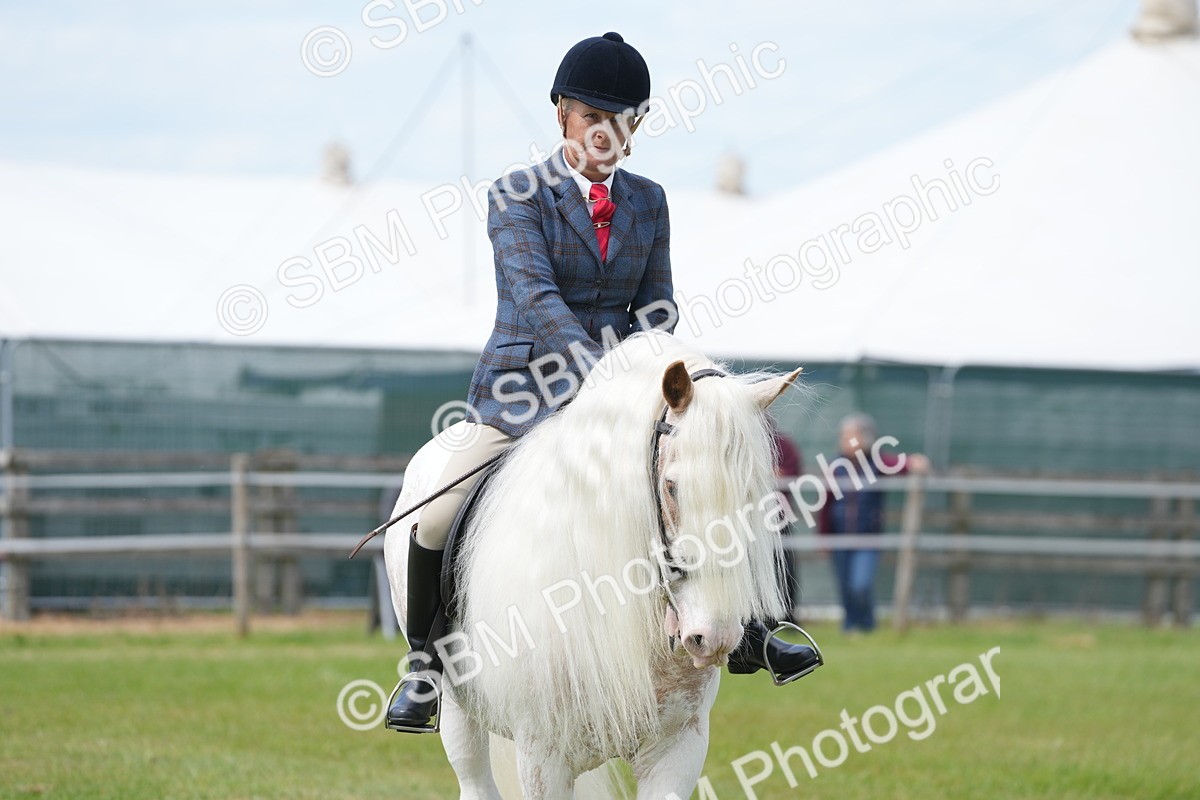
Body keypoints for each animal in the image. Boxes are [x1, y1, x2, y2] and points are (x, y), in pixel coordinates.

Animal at [383, 331, 804, 799]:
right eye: (671, 486)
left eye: (754, 491)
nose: (712, 636)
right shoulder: (542, 756)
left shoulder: (679, 745)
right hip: (460, 712)